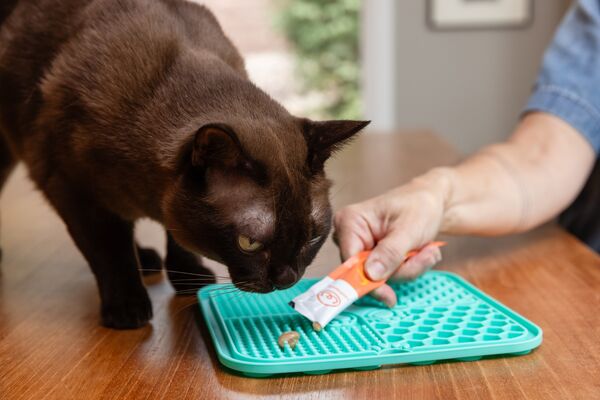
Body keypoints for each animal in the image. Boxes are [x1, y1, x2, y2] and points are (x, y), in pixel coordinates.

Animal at [0, 0, 368, 328]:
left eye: (312, 237)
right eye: (249, 243)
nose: (288, 278)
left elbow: (176, 236)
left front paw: (188, 278)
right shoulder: (74, 191)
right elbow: (109, 253)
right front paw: (127, 311)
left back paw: (146, 260)